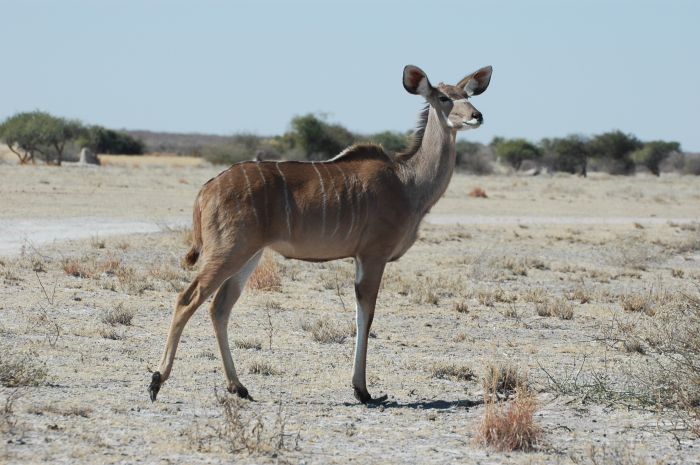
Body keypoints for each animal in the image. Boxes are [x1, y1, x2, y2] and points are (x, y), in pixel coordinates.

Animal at [148, 64, 492, 402]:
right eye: (443, 97)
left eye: (467, 95)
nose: (477, 116)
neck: (407, 182)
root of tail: (206, 189)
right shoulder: (373, 254)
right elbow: (366, 313)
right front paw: (363, 390)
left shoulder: (361, 257)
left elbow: (361, 312)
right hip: (228, 252)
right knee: (187, 298)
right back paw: (156, 381)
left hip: (248, 255)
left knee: (219, 307)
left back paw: (239, 387)